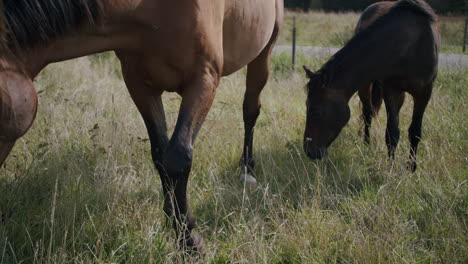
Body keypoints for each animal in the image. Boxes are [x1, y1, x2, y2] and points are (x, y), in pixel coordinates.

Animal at [0, 0, 284, 252]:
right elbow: (160, 156)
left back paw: (247, 169)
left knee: (250, 110)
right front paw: (175, 224)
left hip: (264, 52)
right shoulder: (140, 85)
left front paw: (190, 240)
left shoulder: (204, 79)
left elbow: (178, 157)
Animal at [304, 0, 438, 172]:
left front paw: (411, 169)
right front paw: (390, 168)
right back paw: (366, 145)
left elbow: (415, 132)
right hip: (367, 86)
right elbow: (392, 133)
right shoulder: (391, 90)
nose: (308, 150)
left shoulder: (424, 92)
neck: (410, 45)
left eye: (315, 112)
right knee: (367, 113)